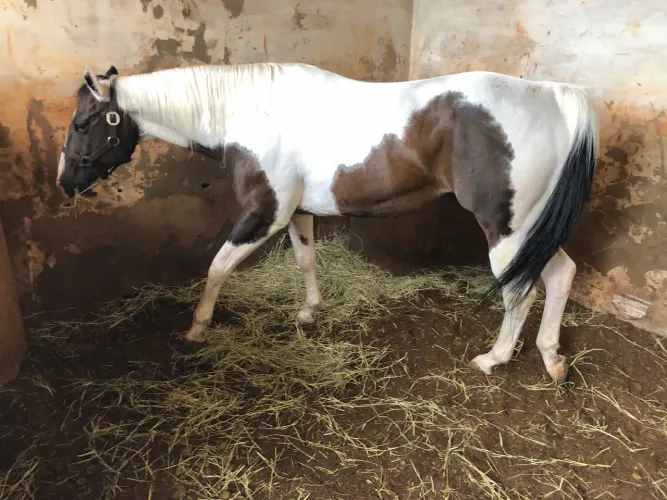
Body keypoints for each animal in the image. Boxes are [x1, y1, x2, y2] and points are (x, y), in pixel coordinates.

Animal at [57, 63, 597, 384]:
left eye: (82, 124)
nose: (64, 183)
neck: (250, 113)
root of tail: (552, 96)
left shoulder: (264, 215)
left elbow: (217, 267)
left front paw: (197, 328)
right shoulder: (297, 213)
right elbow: (305, 259)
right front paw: (309, 312)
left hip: (508, 231)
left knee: (520, 293)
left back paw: (494, 358)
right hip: (531, 231)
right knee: (560, 275)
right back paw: (552, 359)